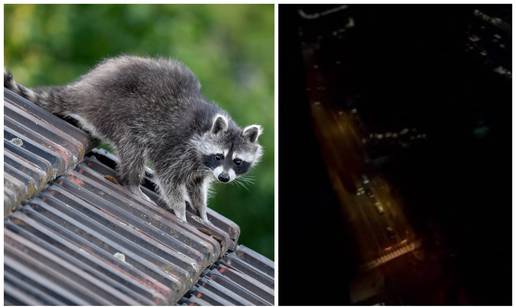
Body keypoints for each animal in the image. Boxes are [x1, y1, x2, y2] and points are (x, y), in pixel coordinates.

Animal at [7, 56, 266, 224]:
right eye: (220, 156)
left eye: (238, 161)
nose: (224, 178)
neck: (206, 127)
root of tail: (87, 90)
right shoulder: (179, 147)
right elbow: (169, 178)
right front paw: (181, 212)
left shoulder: (201, 166)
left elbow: (197, 186)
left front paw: (201, 212)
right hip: (120, 113)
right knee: (134, 148)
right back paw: (132, 183)